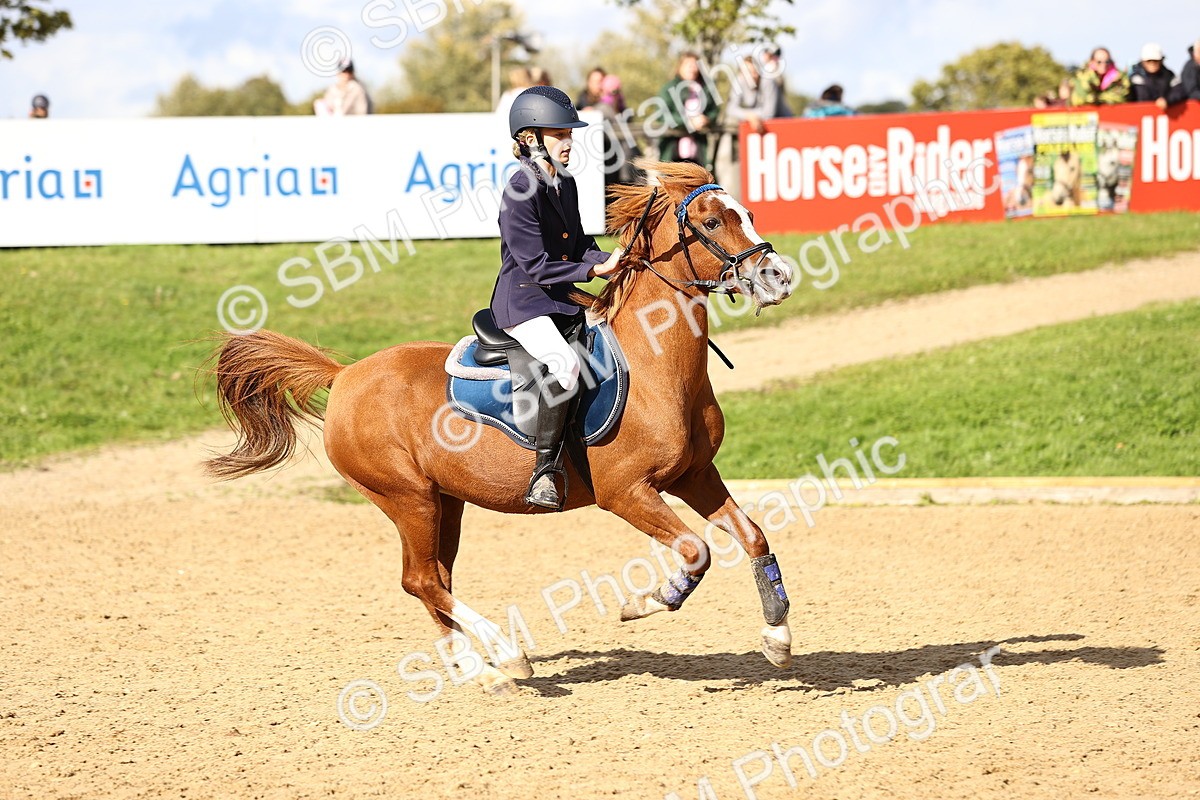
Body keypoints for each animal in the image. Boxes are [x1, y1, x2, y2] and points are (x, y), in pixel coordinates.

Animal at [205, 159, 797, 695]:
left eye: (748, 213)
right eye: (712, 221)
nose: (779, 276)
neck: (654, 364)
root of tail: (345, 374)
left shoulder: (694, 475)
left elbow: (752, 535)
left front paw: (777, 636)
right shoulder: (626, 492)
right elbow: (697, 551)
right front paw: (646, 603)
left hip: (444, 502)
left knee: (433, 579)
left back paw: (476, 669)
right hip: (406, 497)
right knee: (421, 579)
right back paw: (506, 657)